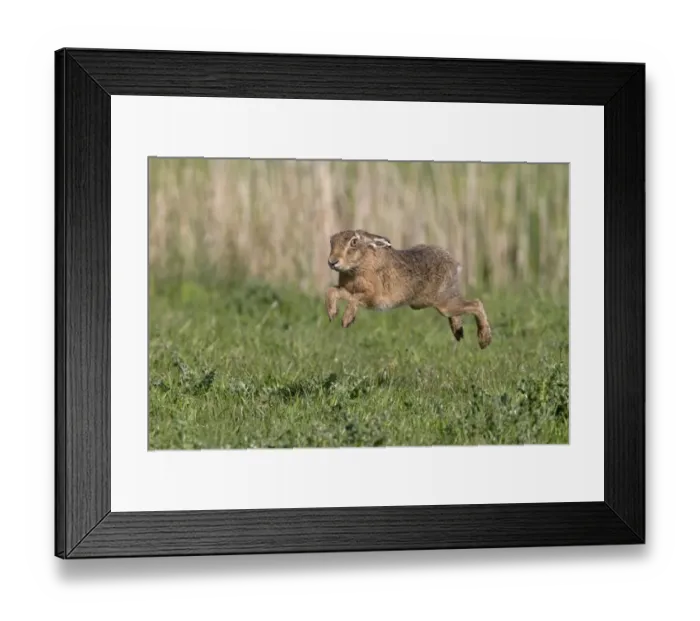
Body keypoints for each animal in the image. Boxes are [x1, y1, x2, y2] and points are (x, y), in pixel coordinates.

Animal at [325, 229, 492, 349]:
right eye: (331, 241)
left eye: (354, 242)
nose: (332, 262)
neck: (359, 265)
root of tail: (455, 264)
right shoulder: (347, 290)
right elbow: (332, 291)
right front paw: (332, 314)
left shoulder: (372, 295)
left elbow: (356, 299)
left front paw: (346, 320)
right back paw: (458, 331)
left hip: (444, 303)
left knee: (476, 304)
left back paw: (484, 339)